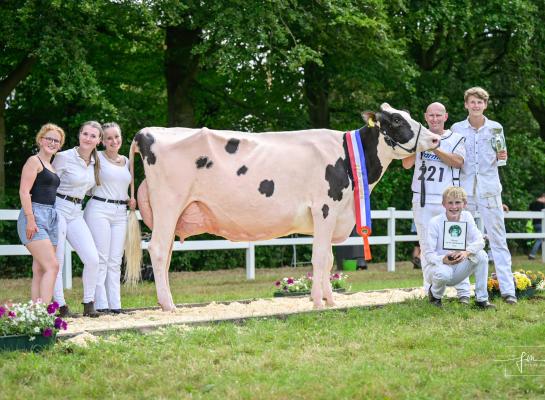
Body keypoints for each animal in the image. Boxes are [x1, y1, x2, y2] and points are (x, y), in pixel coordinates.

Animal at [129, 103, 442, 310]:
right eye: (397, 120)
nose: (435, 138)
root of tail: (146, 133)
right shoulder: (325, 208)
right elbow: (320, 258)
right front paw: (318, 302)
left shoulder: (330, 215)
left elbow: (329, 259)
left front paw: (330, 299)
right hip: (168, 204)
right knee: (158, 249)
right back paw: (169, 306)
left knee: (166, 253)